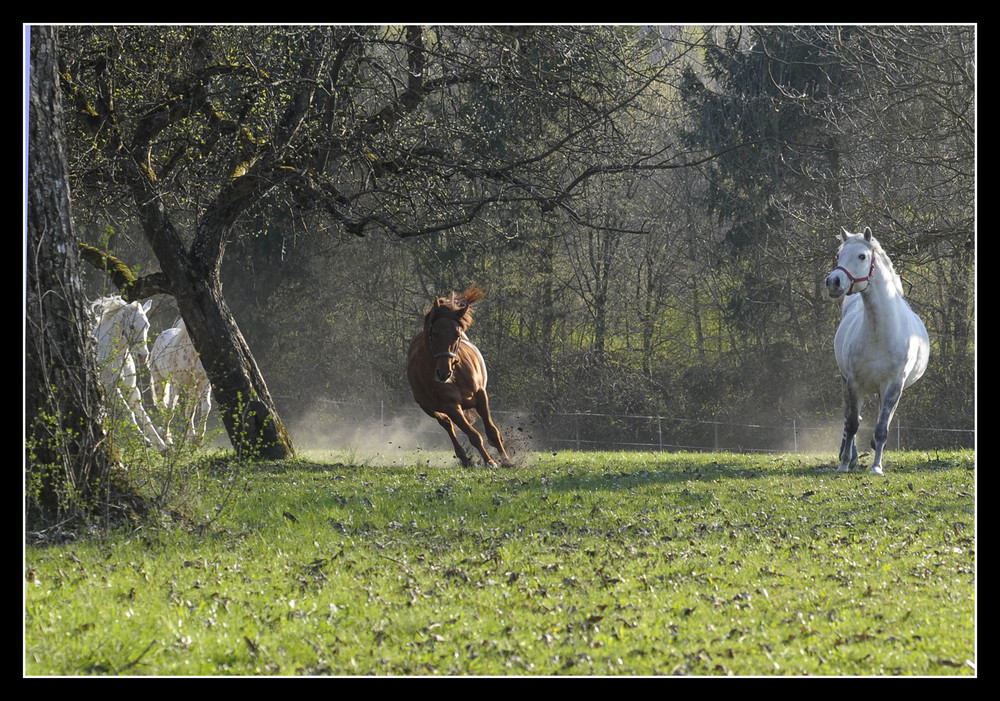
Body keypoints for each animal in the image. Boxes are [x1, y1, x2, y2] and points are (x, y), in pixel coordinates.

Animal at [92, 294, 168, 448]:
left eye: (147, 325)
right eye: (132, 326)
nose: (143, 356)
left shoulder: (131, 389)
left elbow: (144, 416)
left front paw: (162, 446)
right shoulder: (111, 388)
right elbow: (129, 414)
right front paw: (145, 441)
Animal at [408, 288, 512, 468]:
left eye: (457, 335)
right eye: (433, 333)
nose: (443, 373)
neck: (456, 376)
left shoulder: (480, 395)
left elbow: (492, 431)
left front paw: (506, 460)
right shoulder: (451, 406)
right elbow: (474, 435)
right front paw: (490, 461)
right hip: (428, 408)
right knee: (447, 424)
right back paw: (464, 457)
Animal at [824, 227, 932, 474]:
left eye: (862, 256)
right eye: (838, 255)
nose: (833, 282)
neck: (879, 332)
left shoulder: (893, 385)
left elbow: (882, 428)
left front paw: (876, 467)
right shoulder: (854, 383)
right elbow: (852, 424)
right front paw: (844, 464)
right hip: (848, 382)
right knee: (850, 418)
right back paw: (850, 456)